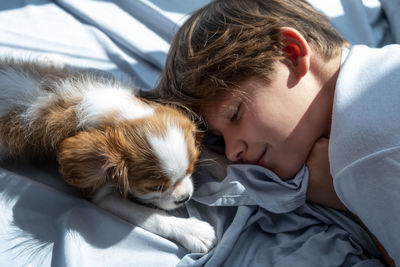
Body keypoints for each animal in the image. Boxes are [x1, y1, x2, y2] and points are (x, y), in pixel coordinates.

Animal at [0, 57, 217, 254]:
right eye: (156, 187)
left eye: (191, 169)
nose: (184, 197)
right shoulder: (100, 192)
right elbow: (151, 216)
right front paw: (193, 231)